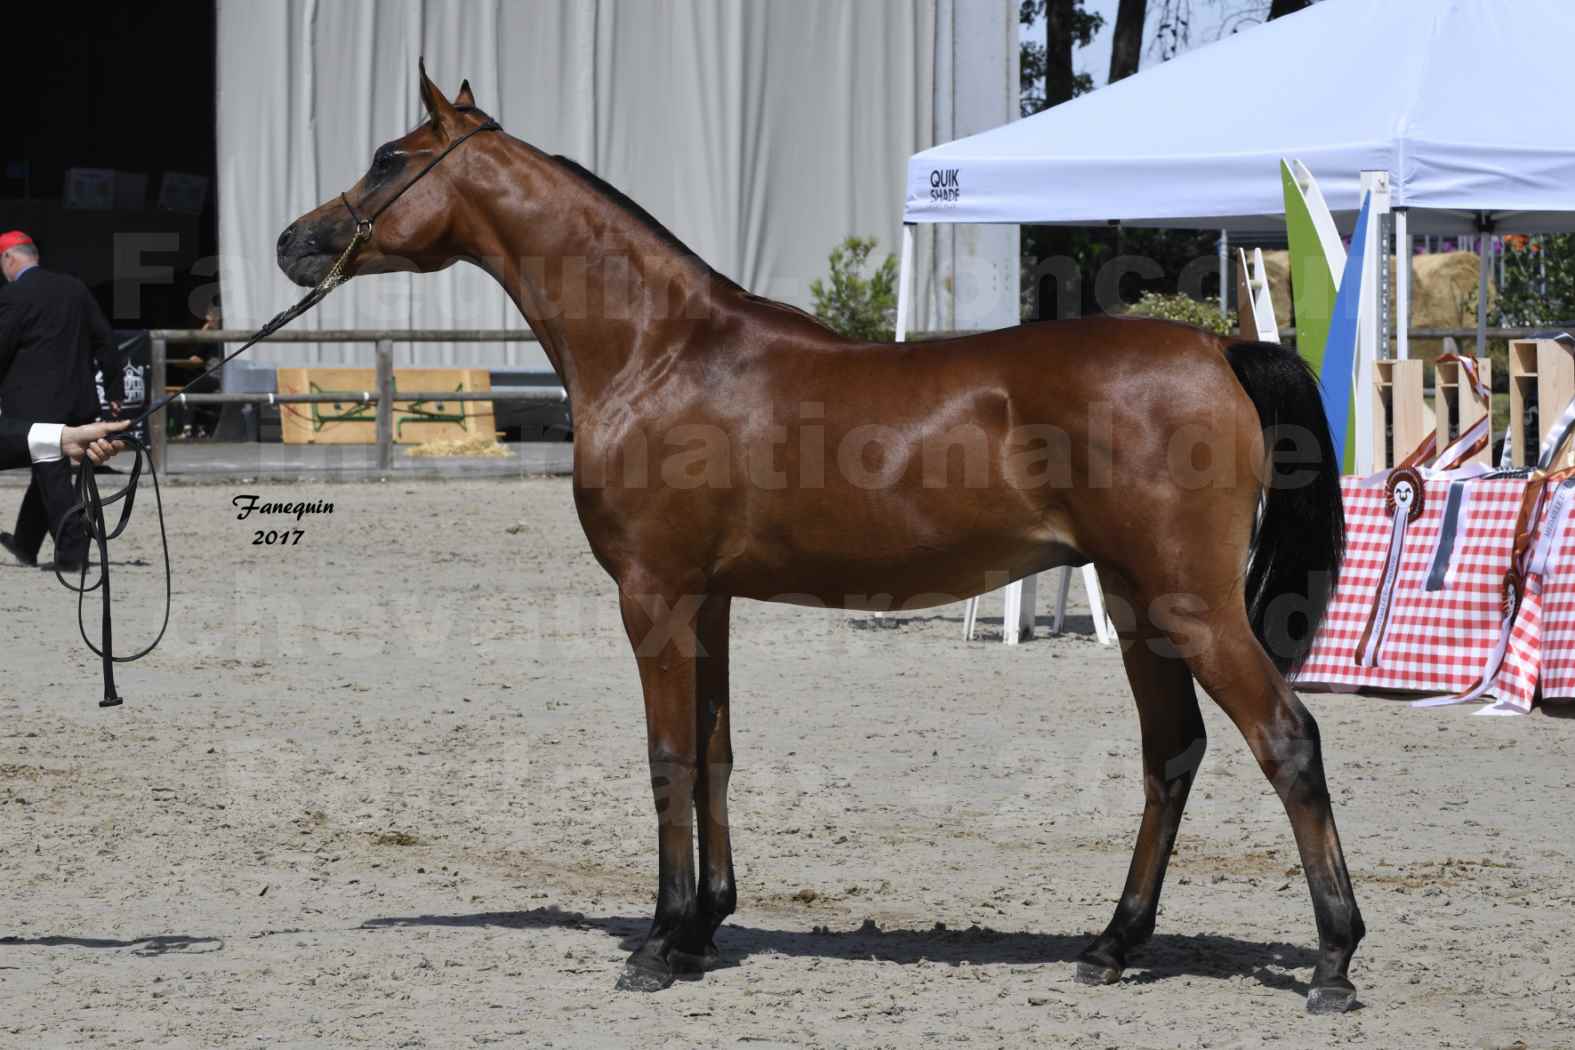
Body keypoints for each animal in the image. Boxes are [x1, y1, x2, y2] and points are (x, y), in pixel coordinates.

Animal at [280, 67, 1367, 1020]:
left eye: (387, 159)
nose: (298, 241)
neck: (658, 350)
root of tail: (1216, 347)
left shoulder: (652, 591)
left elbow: (667, 756)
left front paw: (656, 945)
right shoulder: (708, 598)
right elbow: (714, 752)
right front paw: (701, 931)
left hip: (1190, 602)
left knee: (1286, 740)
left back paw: (1333, 962)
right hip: (1139, 602)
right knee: (1171, 753)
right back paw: (1111, 945)